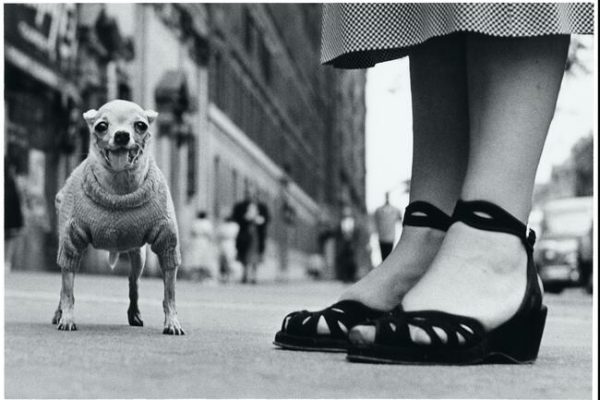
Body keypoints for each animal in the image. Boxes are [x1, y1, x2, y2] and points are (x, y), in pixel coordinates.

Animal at [53, 99, 185, 334]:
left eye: (141, 125)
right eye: (101, 126)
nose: (122, 135)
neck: (119, 187)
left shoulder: (167, 244)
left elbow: (169, 293)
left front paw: (172, 321)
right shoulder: (70, 244)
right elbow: (68, 289)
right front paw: (67, 317)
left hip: (138, 256)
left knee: (133, 283)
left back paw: (135, 314)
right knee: (64, 283)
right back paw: (59, 313)